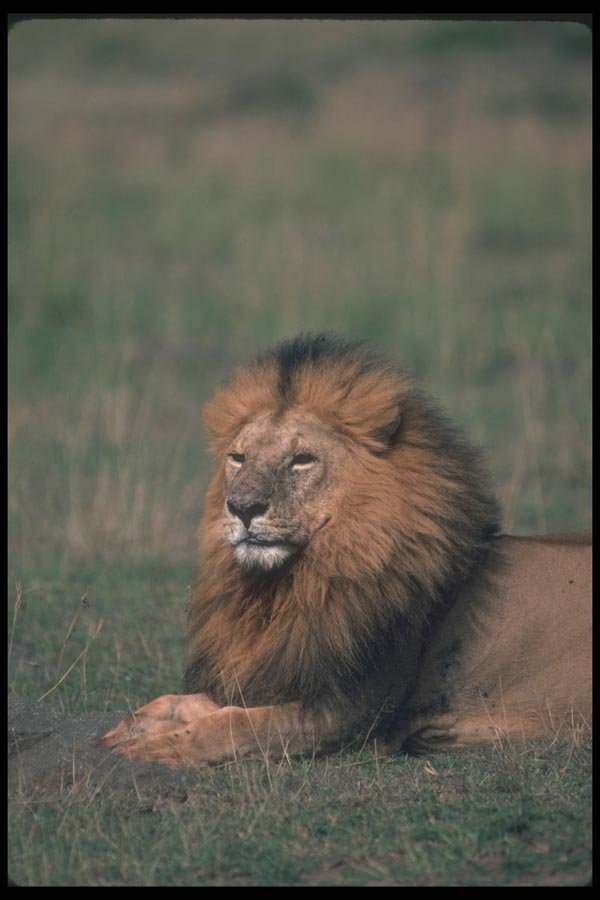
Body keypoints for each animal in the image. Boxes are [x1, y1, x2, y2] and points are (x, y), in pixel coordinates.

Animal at [96, 334, 592, 767]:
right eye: (237, 458)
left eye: (302, 460)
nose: (241, 507)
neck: (290, 588)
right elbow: (196, 701)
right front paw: (137, 722)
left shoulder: (351, 715)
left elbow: (236, 724)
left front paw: (163, 745)